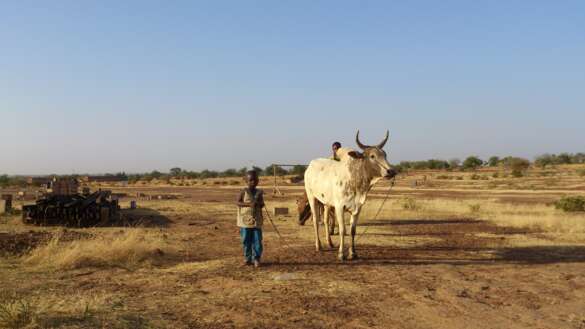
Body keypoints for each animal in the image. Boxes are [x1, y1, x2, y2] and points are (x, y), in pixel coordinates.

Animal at [302, 129, 396, 260]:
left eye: (385, 155)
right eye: (372, 156)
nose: (391, 171)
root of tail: (311, 165)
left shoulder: (358, 208)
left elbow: (352, 230)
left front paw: (353, 253)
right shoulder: (339, 207)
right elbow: (342, 230)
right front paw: (341, 253)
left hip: (326, 202)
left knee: (325, 220)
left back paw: (329, 243)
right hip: (312, 197)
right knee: (316, 220)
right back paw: (318, 246)